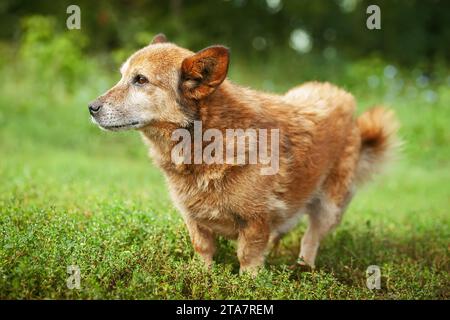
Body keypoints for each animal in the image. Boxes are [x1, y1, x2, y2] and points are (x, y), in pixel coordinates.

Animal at [89, 34, 400, 276]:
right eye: (121, 76)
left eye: (140, 80)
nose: (91, 107)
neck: (206, 142)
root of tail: (344, 99)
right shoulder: (195, 222)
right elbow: (204, 253)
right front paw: (204, 279)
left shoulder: (254, 223)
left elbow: (247, 260)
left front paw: (250, 285)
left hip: (329, 208)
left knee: (310, 239)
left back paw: (304, 270)